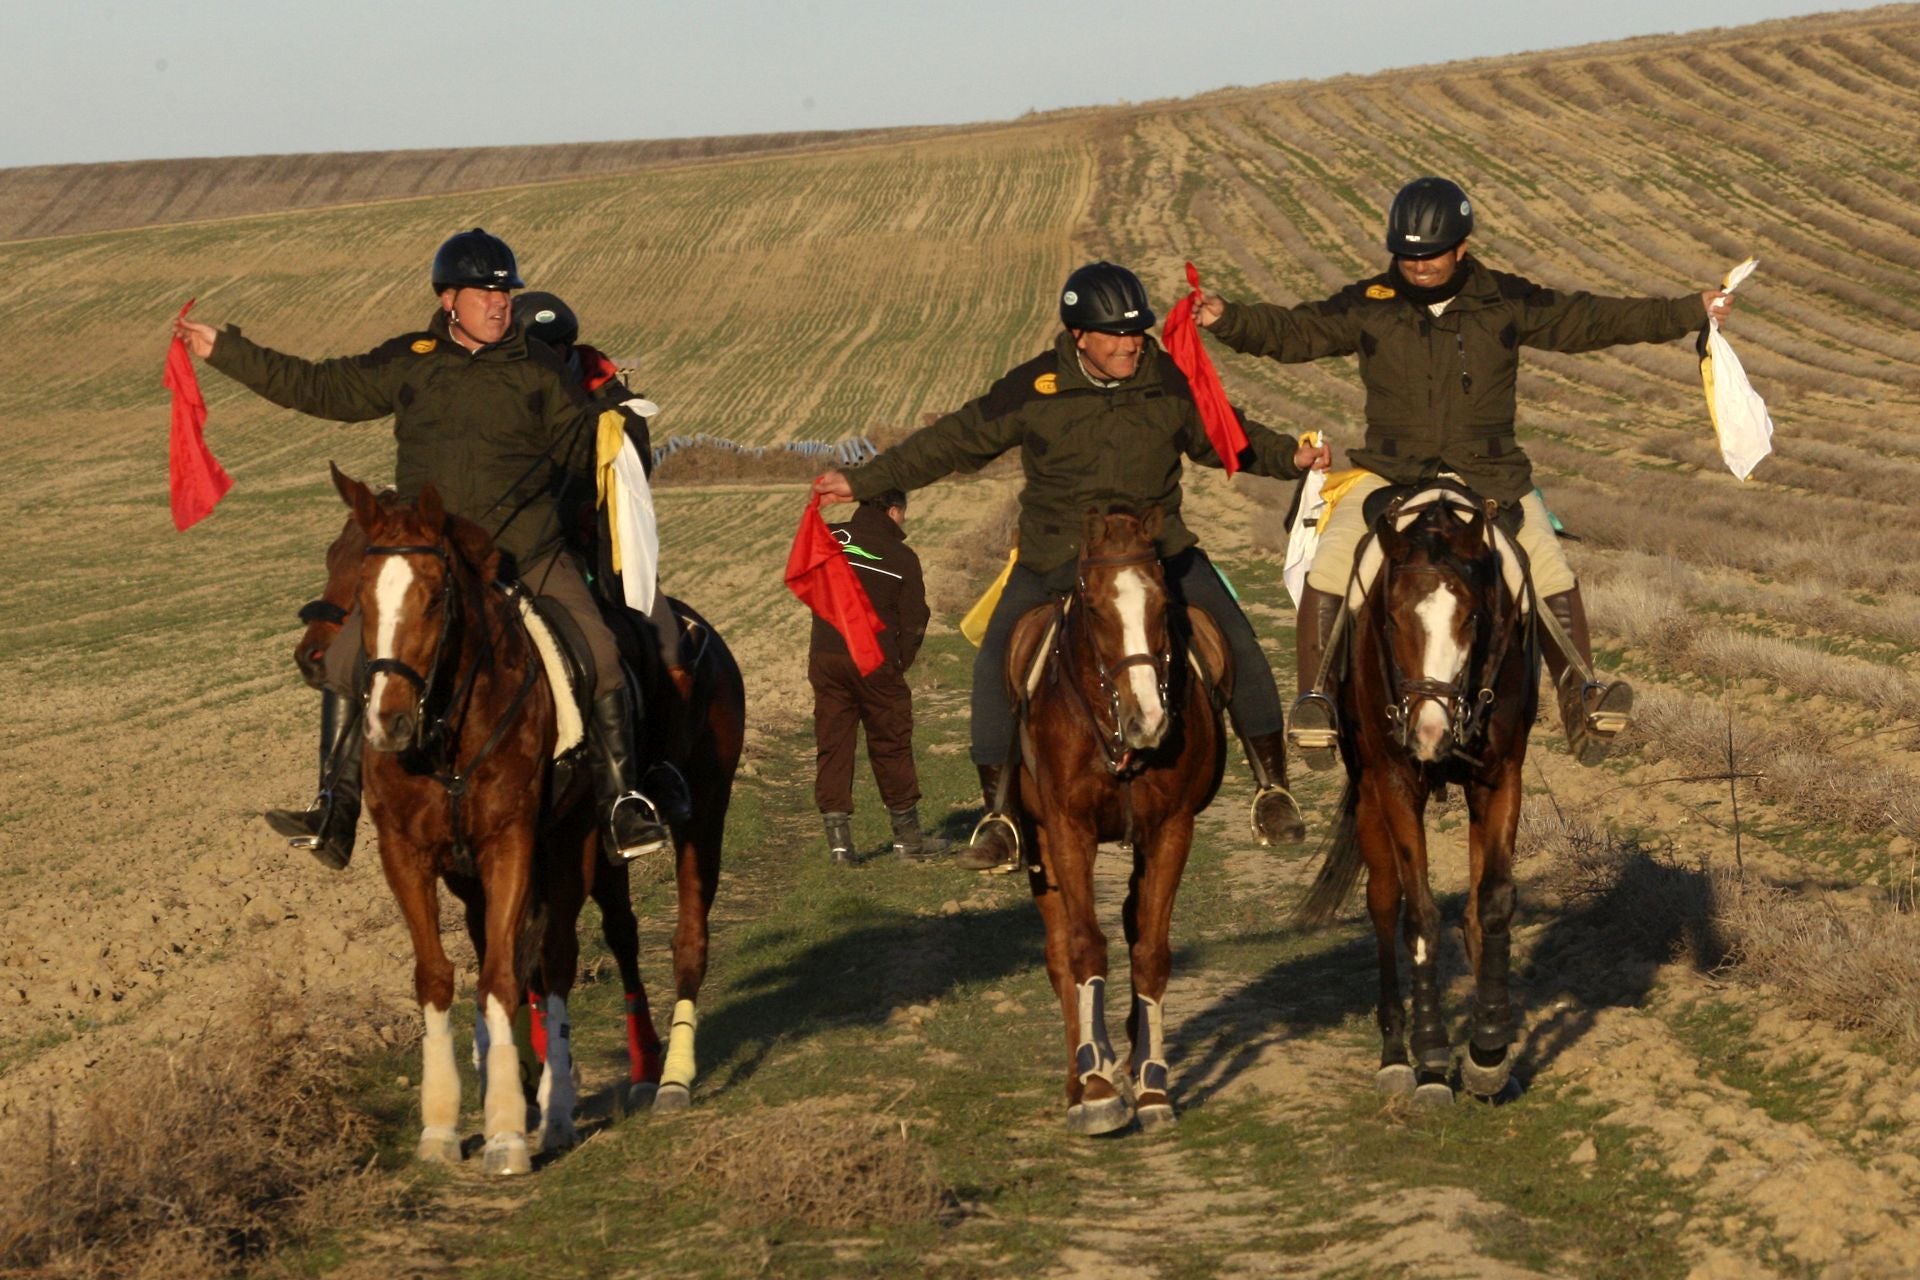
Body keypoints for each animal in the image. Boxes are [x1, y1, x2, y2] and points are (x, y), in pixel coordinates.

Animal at [1006, 506, 1228, 1136]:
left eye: (1161, 604)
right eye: (1097, 608)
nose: (1148, 720)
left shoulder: (1172, 830)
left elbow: (1150, 951)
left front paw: (1151, 1086)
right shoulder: (1067, 830)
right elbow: (1084, 948)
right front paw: (1099, 1089)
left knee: (1131, 921)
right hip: (1039, 847)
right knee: (1060, 951)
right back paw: (1081, 1079)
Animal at [1297, 485, 1536, 1105]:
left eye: (1472, 615)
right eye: (1394, 616)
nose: (1430, 731)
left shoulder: (1500, 777)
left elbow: (1492, 901)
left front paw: (1488, 1050)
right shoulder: (1395, 783)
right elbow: (1420, 913)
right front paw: (1430, 1056)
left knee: (1470, 904)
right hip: (1369, 796)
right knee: (1384, 902)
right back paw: (1394, 1056)